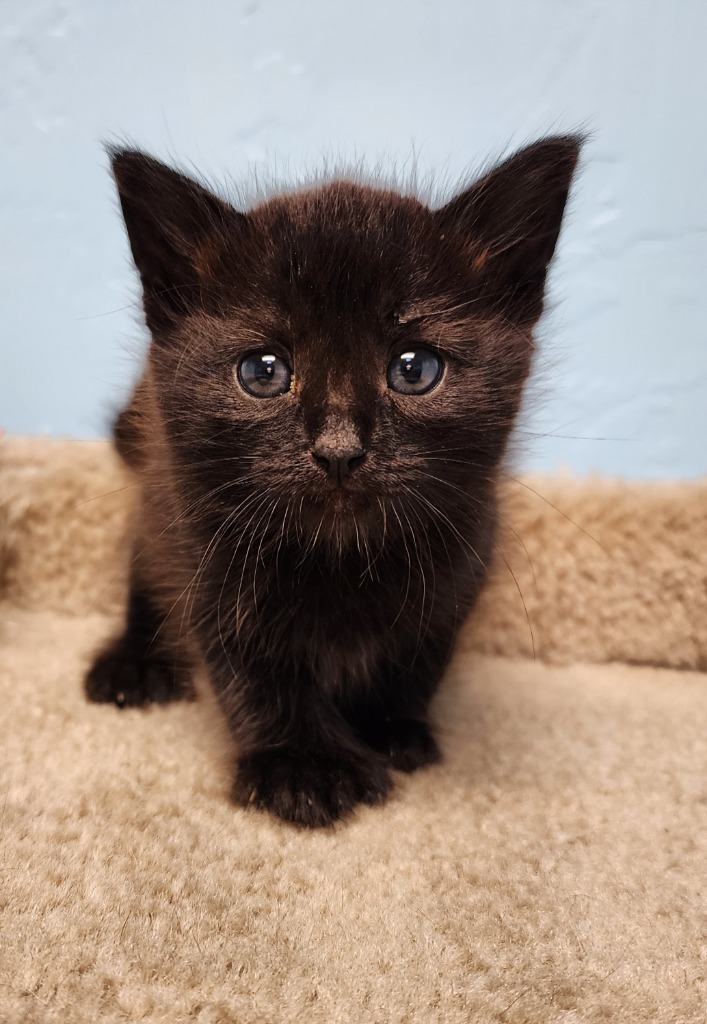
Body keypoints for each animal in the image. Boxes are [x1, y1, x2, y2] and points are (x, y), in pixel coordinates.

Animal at [85, 136, 577, 827]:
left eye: (415, 368)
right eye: (263, 371)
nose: (339, 450)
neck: (342, 557)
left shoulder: (467, 549)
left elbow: (421, 651)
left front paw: (390, 729)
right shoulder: (205, 549)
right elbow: (255, 665)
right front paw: (304, 766)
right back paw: (133, 663)